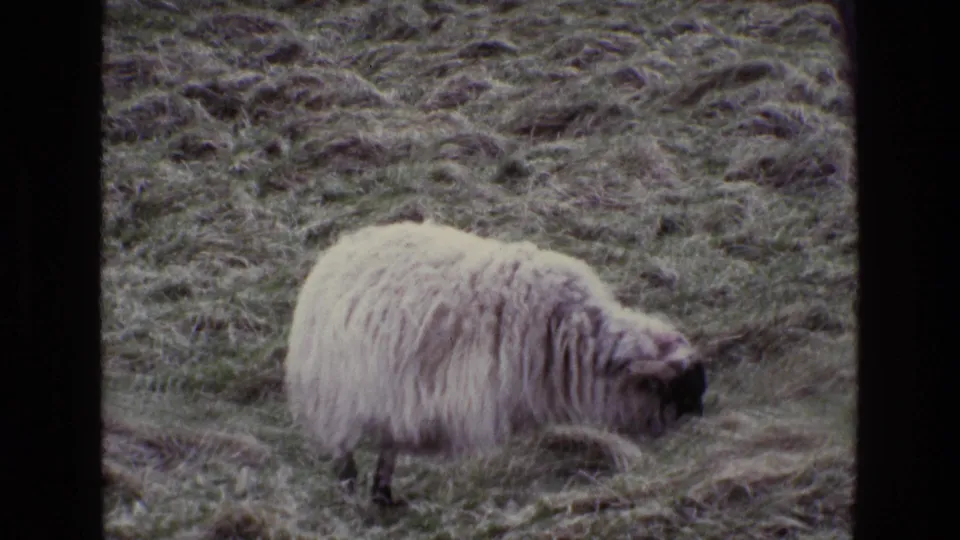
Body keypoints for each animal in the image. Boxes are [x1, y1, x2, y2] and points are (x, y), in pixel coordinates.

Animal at [284, 220, 708, 507]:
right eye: (682, 388)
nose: (701, 422)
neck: (572, 332)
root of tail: (336, 254)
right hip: (341, 397)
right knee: (344, 454)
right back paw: (353, 495)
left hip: (387, 396)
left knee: (388, 448)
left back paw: (384, 497)